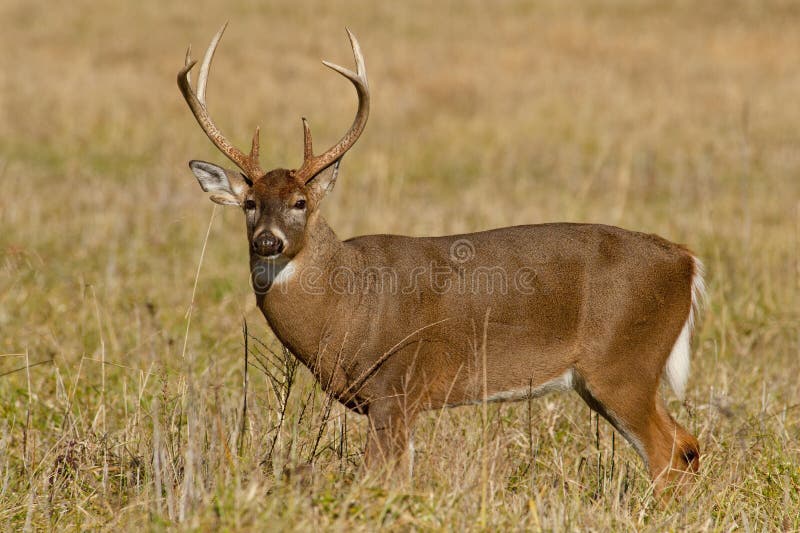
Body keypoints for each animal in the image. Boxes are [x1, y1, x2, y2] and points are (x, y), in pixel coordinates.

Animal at [178, 22, 704, 492]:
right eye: (249, 203)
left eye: (300, 203)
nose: (268, 242)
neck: (347, 304)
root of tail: (686, 261)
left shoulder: (396, 386)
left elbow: (378, 480)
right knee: (687, 444)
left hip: (623, 362)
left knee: (668, 455)